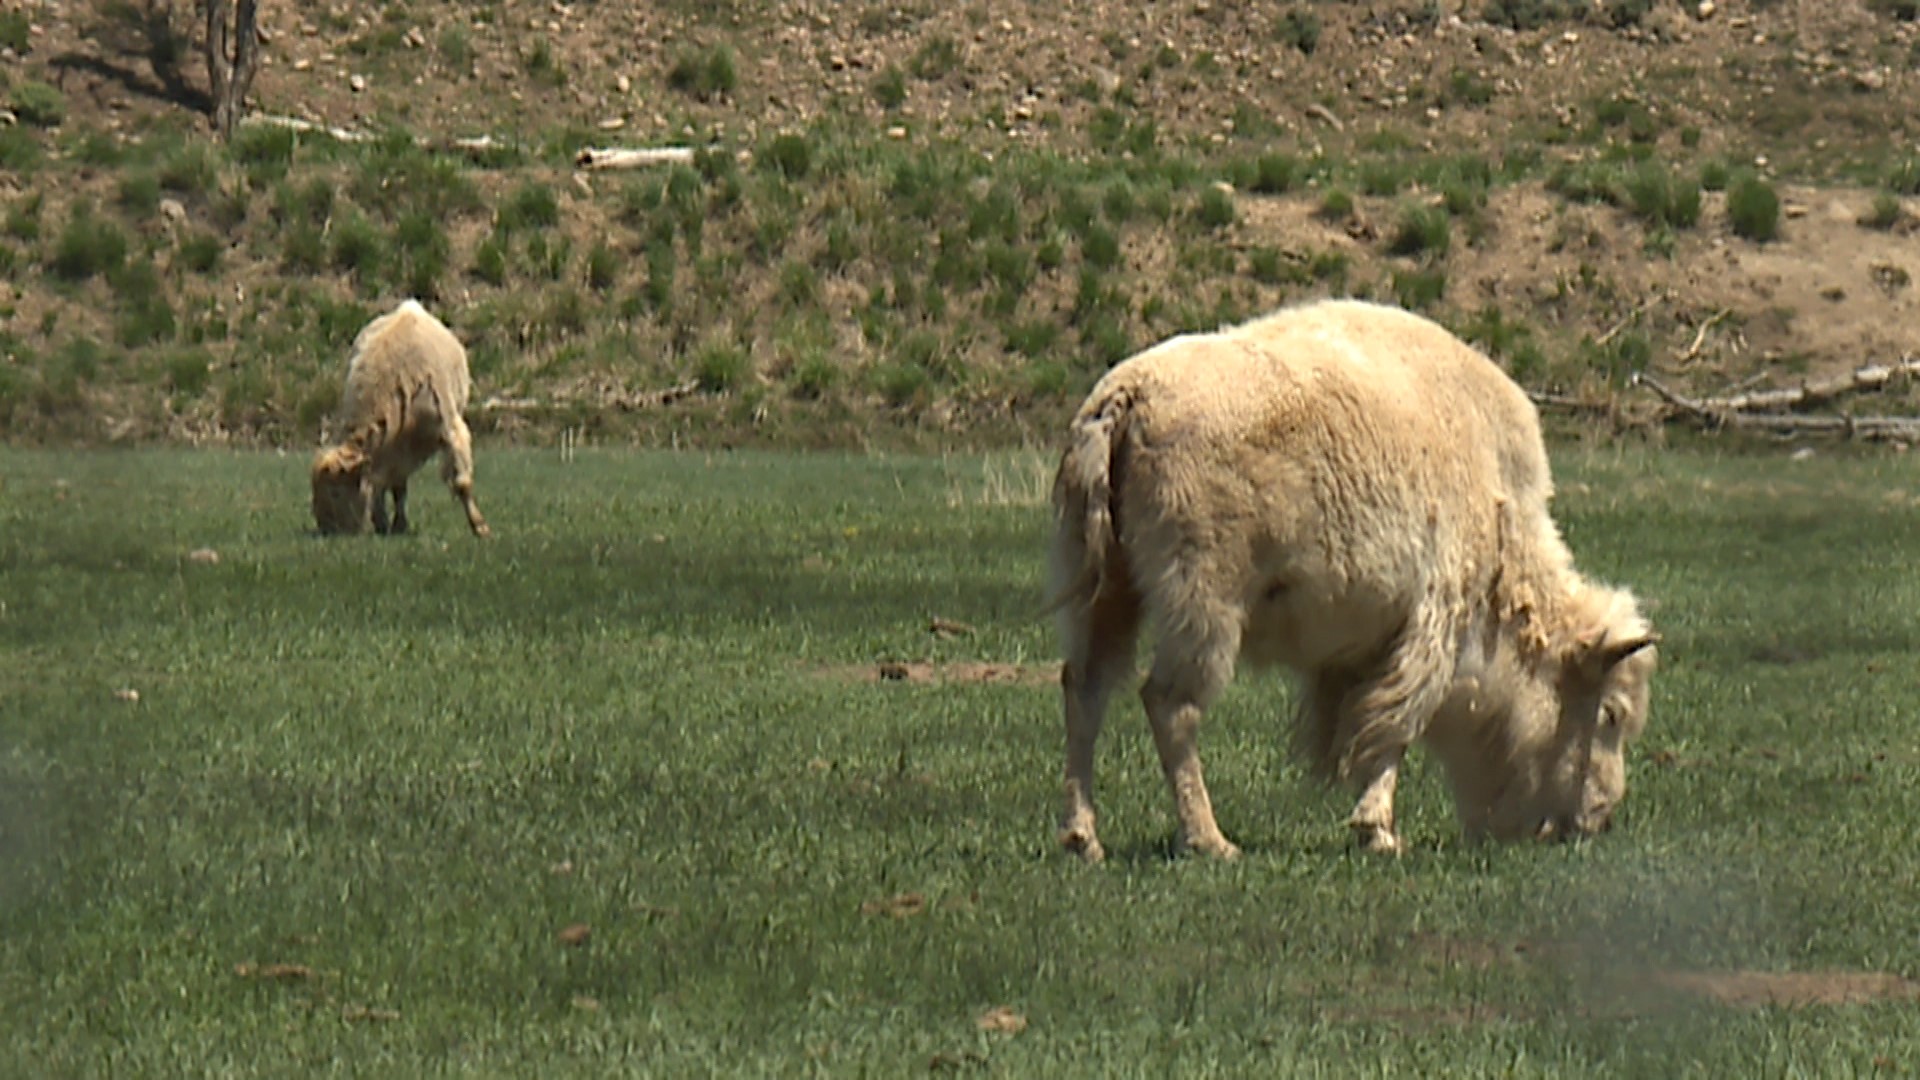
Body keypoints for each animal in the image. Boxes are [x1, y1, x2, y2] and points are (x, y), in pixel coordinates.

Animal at [310, 300, 491, 538]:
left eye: (336, 492)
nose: (326, 528)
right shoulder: (394, 452)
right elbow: (393, 487)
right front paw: (389, 524)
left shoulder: (450, 431)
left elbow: (462, 482)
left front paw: (480, 527)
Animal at [1049, 298, 1658, 860]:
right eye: (1610, 714)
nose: (1597, 819)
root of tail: (1126, 394)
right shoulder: (1433, 623)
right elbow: (1395, 726)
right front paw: (1379, 832)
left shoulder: (1364, 646)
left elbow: (1358, 724)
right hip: (1205, 608)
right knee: (1169, 703)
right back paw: (1210, 840)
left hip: (1109, 592)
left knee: (1085, 687)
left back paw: (1084, 839)